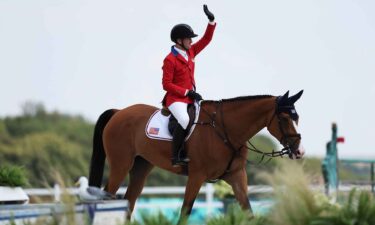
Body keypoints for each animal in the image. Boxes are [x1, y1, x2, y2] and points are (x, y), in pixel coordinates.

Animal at [88, 89, 306, 220]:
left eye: (297, 117)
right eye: (284, 118)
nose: (299, 151)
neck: (226, 130)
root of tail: (119, 112)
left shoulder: (237, 176)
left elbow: (248, 211)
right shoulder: (196, 176)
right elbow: (185, 212)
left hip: (141, 168)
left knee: (129, 202)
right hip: (120, 165)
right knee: (107, 196)